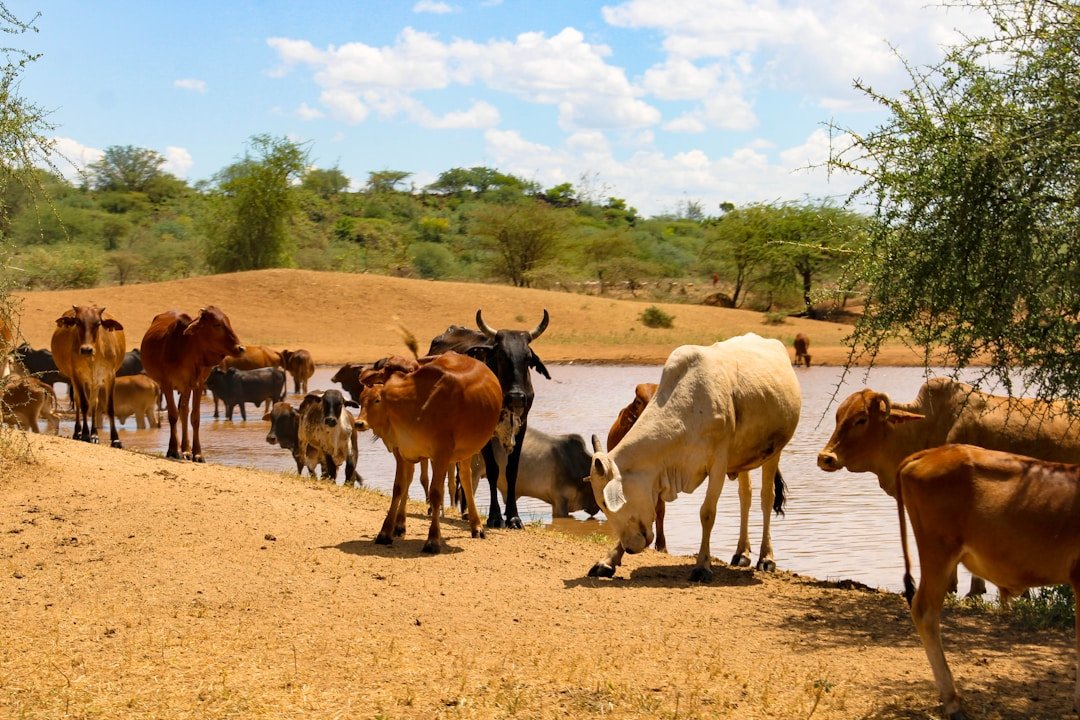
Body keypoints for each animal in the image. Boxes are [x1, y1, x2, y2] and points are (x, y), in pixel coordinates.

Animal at [50, 305, 126, 447]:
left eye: (98, 323)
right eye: (77, 322)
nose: (86, 349)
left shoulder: (110, 376)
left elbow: (109, 407)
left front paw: (115, 439)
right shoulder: (77, 375)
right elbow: (84, 404)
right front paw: (85, 434)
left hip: (94, 382)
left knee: (94, 403)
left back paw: (95, 434)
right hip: (77, 380)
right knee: (79, 401)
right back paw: (78, 432)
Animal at [140, 306, 245, 461]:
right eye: (217, 325)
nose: (241, 348)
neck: (187, 348)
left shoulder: (198, 385)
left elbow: (195, 417)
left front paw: (197, 453)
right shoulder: (166, 383)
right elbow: (173, 415)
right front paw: (173, 450)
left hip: (186, 387)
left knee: (184, 412)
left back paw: (186, 450)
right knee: (179, 412)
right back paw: (181, 449)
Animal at [355, 351, 502, 553]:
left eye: (377, 400)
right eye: (385, 373)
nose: (359, 423)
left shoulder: (441, 454)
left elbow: (436, 493)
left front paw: (433, 539)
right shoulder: (402, 450)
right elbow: (399, 487)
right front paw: (385, 532)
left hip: (465, 452)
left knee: (465, 479)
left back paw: (477, 526)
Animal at [426, 309, 551, 530]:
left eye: (528, 358)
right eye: (501, 355)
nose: (516, 397)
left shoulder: (522, 428)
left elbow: (511, 471)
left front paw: (513, 517)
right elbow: (493, 470)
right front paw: (494, 516)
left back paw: (466, 512)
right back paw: (434, 509)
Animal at [587, 333, 801, 581]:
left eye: (605, 503)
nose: (631, 548)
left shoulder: (718, 464)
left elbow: (707, 513)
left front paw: (702, 566)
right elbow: (653, 514)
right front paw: (608, 560)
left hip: (773, 452)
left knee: (766, 497)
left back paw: (766, 557)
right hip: (743, 459)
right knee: (745, 497)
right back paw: (741, 553)